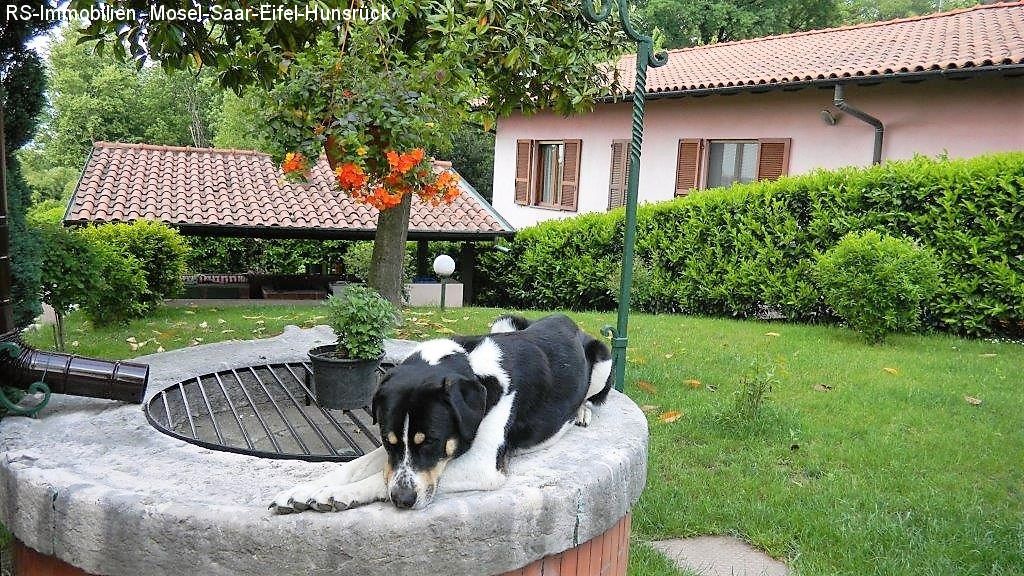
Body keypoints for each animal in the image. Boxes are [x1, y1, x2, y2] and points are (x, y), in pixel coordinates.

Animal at [268, 313, 610, 510]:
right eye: (389, 440)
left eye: (431, 441)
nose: (403, 501)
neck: (473, 369)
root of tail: (566, 320)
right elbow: (355, 467)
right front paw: (303, 491)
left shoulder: (483, 465)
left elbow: (380, 478)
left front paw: (335, 495)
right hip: (504, 320)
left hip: (604, 358)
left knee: (593, 396)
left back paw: (581, 412)